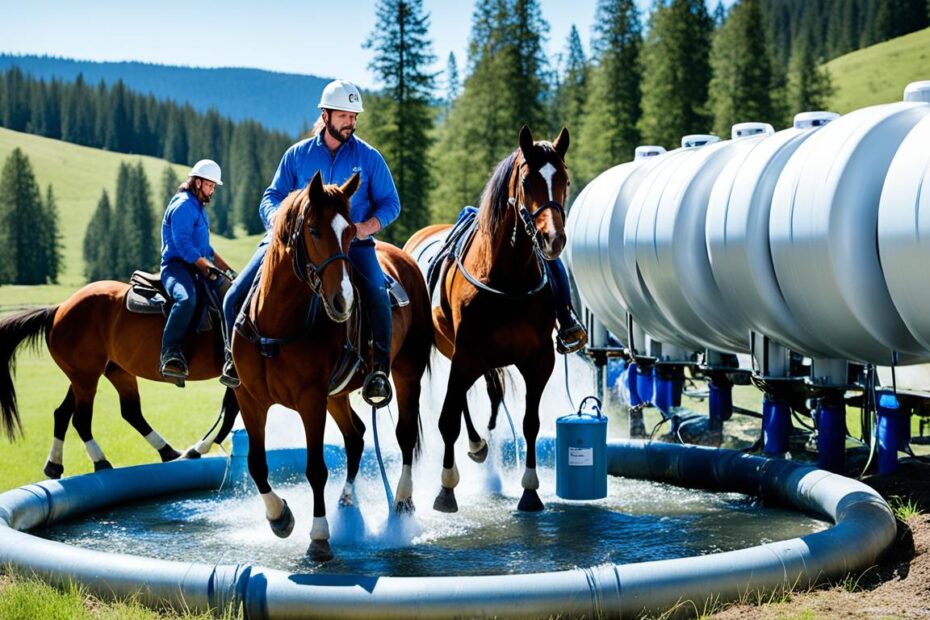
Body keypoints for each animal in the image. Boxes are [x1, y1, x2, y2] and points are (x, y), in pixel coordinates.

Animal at [0, 280, 239, 480]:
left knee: (81, 413)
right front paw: (200, 448)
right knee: (81, 419)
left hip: (103, 374)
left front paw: (199, 448)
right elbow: (229, 412)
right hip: (87, 377)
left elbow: (230, 410)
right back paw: (101, 461)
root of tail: (58, 309)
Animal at [232, 170, 436, 560]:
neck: (276, 324)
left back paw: (401, 504)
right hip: (337, 396)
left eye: (351, 230)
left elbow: (315, 469)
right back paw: (346, 504)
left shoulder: (311, 401)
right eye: (313, 230)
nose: (343, 301)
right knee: (356, 436)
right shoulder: (250, 400)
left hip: (407, 372)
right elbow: (256, 464)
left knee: (404, 436)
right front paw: (280, 518)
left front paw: (319, 536)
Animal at [404, 124, 568, 512]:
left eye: (564, 180)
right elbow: (447, 420)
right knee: (459, 400)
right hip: (456, 353)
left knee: (485, 394)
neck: (507, 277)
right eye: (527, 181)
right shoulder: (466, 353)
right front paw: (445, 490)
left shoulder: (540, 360)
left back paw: (480, 445)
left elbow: (530, 423)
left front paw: (530, 491)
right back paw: (475, 446)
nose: (552, 239)